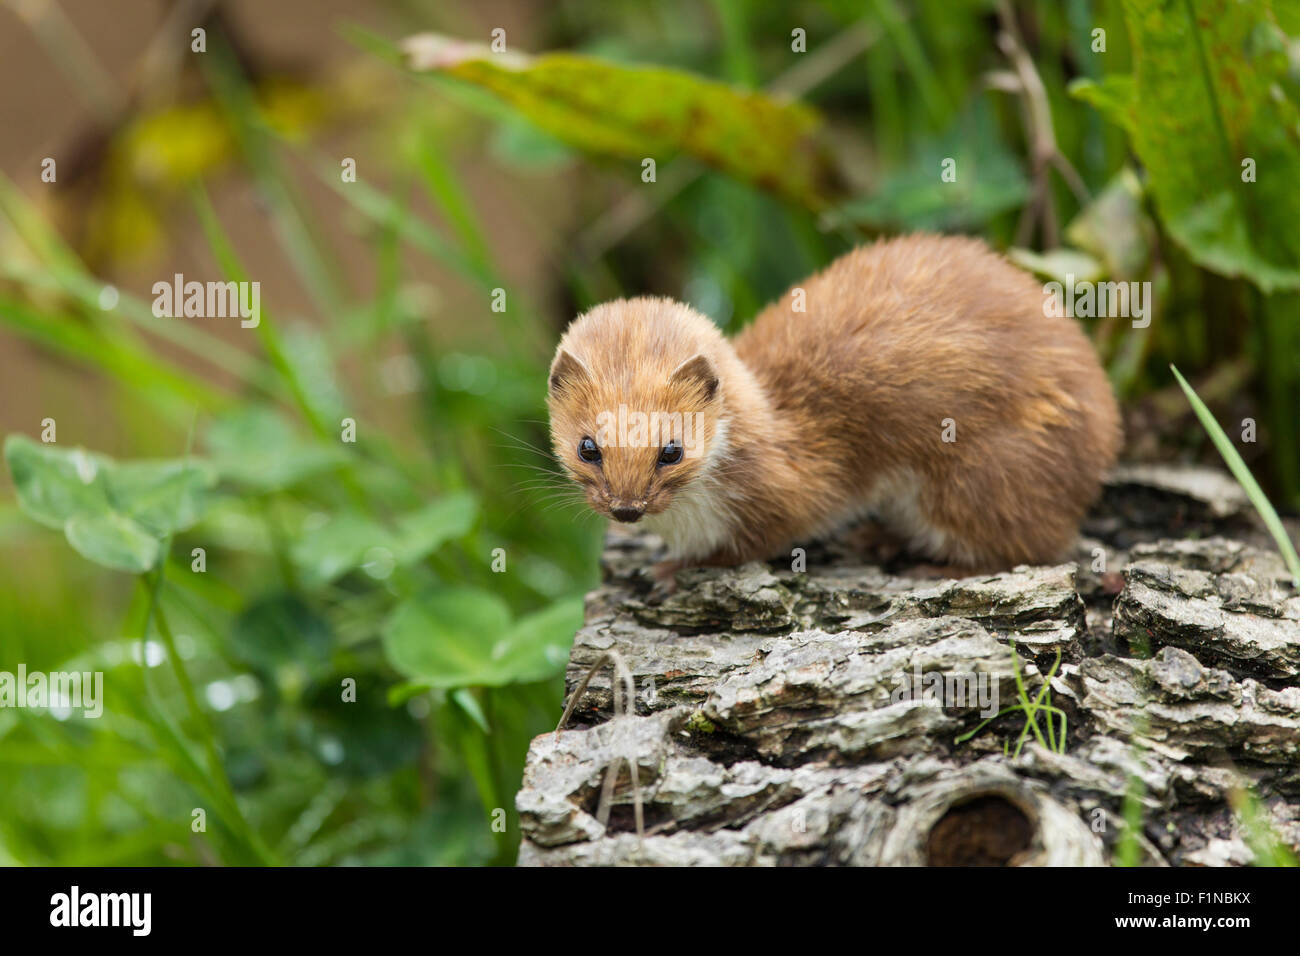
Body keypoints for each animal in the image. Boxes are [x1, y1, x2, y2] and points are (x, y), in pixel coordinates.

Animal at [543, 234, 1123, 572]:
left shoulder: (790, 491)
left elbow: (758, 540)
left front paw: (671, 570)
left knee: (1027, 543)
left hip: (985, 476)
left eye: (672, 449)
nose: (626, 507)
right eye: (588, 447)